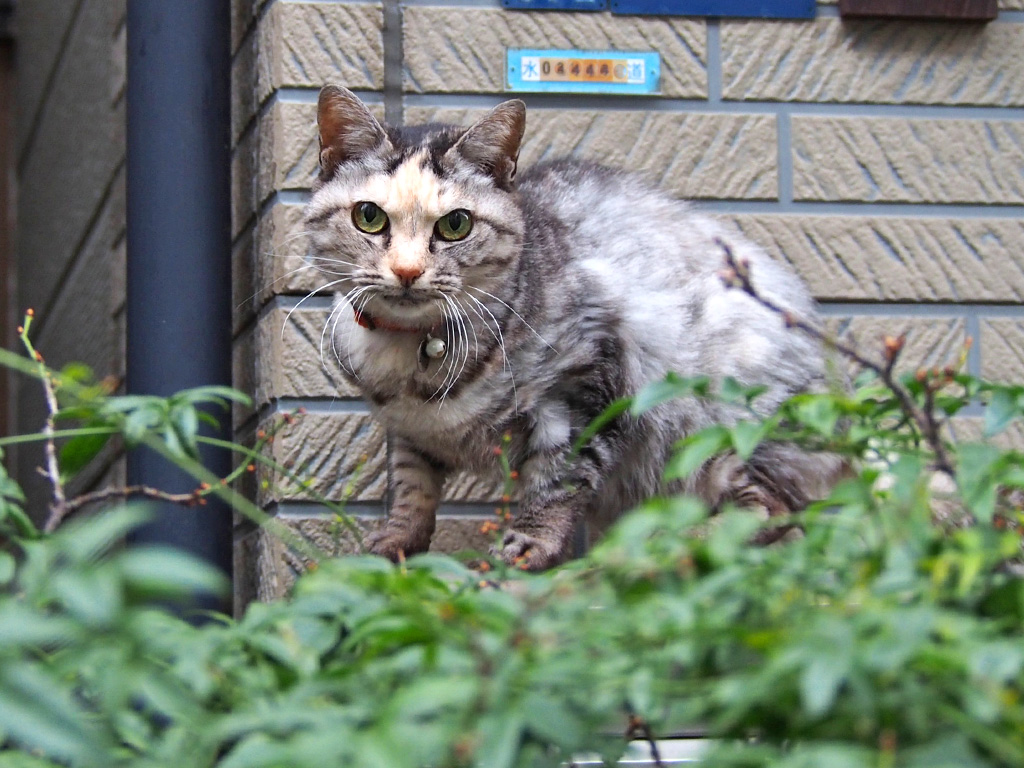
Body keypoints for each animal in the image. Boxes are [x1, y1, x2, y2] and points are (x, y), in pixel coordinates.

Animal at [299, 85, 843, 573]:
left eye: (456, 225)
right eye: (369, 216)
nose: (408, 271)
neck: (409, 359)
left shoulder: (590, 381)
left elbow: (558, 479)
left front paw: (526, 546)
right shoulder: (411, 431)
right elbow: (412, 487)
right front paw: (393, 543)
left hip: (718, 430)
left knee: (774, 513)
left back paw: (657, 547)